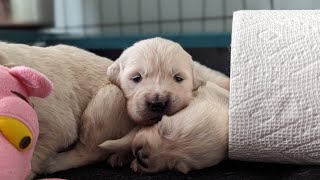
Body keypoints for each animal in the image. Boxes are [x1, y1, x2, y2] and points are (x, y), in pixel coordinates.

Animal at [0, 42, 135, 179]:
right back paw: (120, 158)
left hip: (110, 98)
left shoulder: (55, 121)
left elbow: (42, 145)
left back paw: (54, 163)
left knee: (91, 151)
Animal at [100, 81, 228, 173]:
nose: (140, 156)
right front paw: (118, 155)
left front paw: (135, 164)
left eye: (175, 166)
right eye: (165, 129)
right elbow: (127, 139)